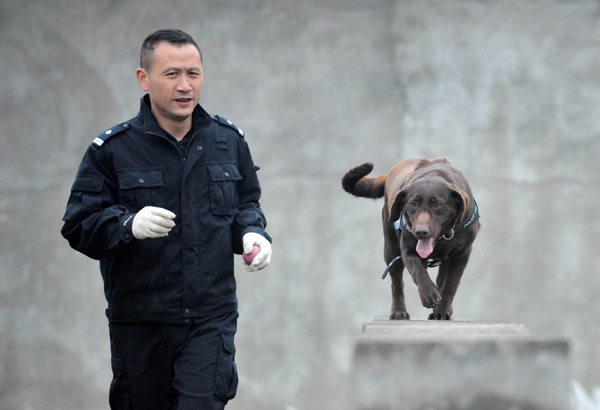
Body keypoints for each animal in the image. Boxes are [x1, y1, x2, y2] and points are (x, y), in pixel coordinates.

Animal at [342, 157, 478, 320]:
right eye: (413, 203)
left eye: (438, 204)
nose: (420, 232)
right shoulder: (408, 251)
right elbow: (419, 271)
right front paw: (429, 294)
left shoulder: (462, 254)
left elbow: (450, 285)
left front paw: (441, 312)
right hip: (391, 249)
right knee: (396, 283)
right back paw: (398, 311)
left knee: (441, 280)